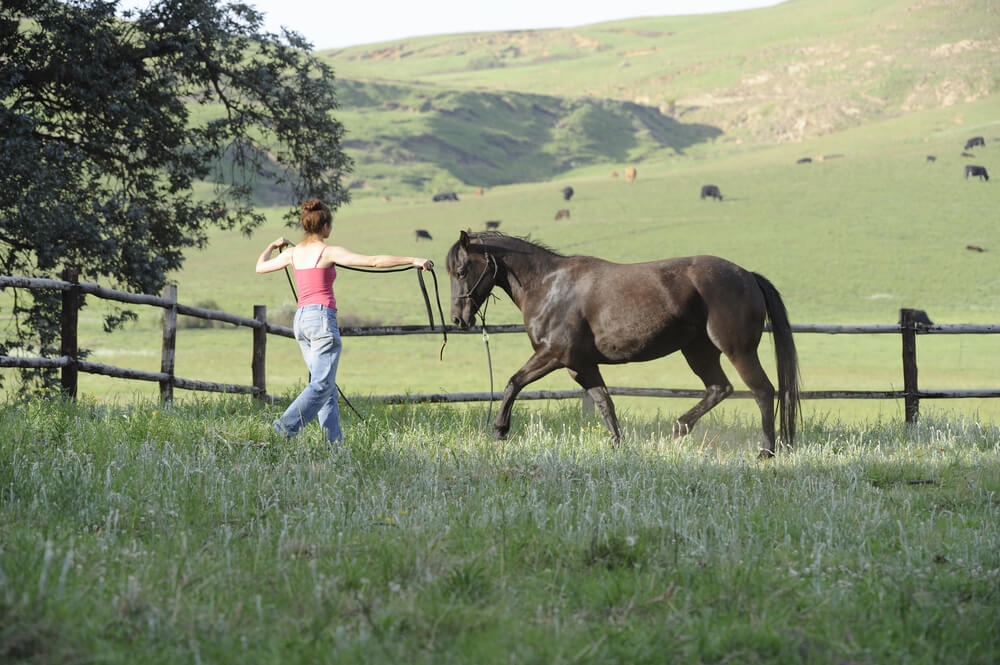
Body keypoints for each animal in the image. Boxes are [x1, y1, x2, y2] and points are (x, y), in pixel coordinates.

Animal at [450, 231, 800, 454]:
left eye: (461, 270)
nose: (458, 319)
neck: (549, 287)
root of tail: (748, 276)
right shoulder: (581, 365)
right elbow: (605, 403)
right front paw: (619, 445)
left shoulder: (554, 355)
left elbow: (513, 383)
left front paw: (500, 432)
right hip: (698, 351)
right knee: (719, 388)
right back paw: (679, 429)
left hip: (737, 350)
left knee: (763, 391)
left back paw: (766, 451)